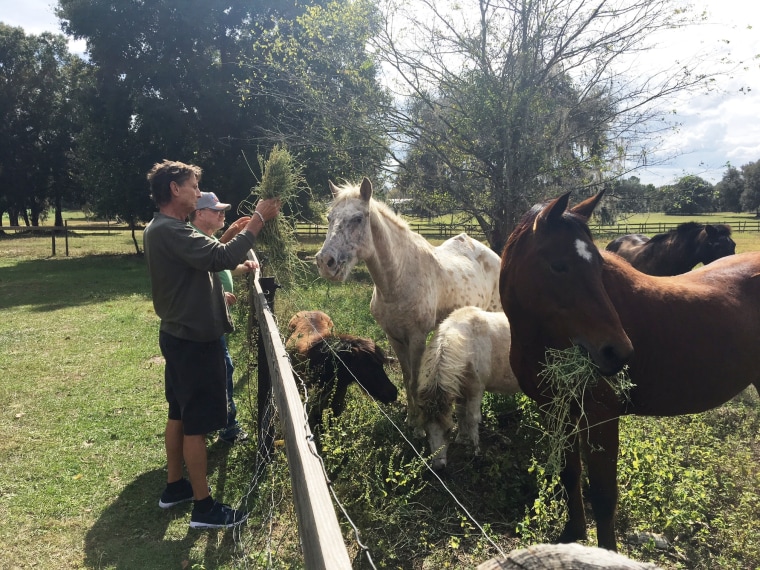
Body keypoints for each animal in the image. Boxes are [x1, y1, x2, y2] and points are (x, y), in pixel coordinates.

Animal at [312, 179, 502, 430]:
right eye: (329, 217)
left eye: (358, 218)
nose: (325, 262)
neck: (399, 279)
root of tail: (493, 255)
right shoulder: (394, 337)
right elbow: (406, 377)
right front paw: (411, 418)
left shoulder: (416, 338)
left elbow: (415, 380)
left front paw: (420, 427)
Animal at [416, 304, 524, 468]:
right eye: (426, 431)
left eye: (448, 430)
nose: (438, 467)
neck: (468, 344)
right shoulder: (459, 389)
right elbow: (460, 413)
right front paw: (462, 438)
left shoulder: (476, 390)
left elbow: (472, 418)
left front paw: (476, 450)